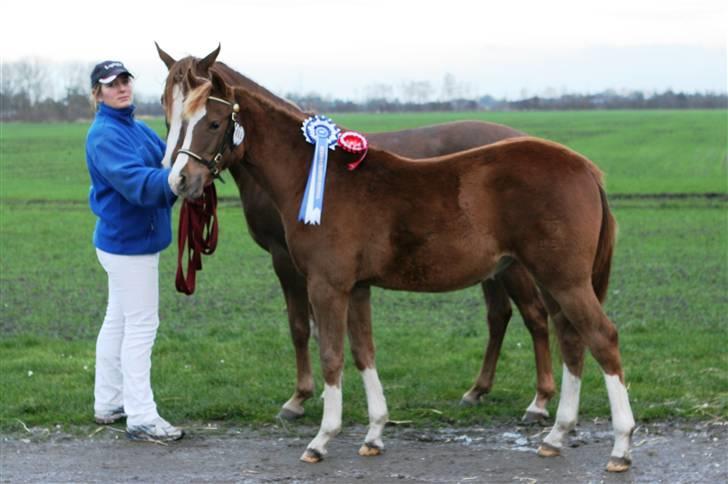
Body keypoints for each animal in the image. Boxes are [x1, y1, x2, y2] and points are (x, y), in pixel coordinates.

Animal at [158, 46, 556, 424]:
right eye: (167, 110)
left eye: (213, 123)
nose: (176, 178)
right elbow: (323, 329)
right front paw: (324, 393)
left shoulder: (286, 259)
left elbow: (301, 326)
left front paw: (299, 398)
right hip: (493, 267)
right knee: (499, 315)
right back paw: (478, 390)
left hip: (515, 266)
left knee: (535, 315)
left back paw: (539, 401)